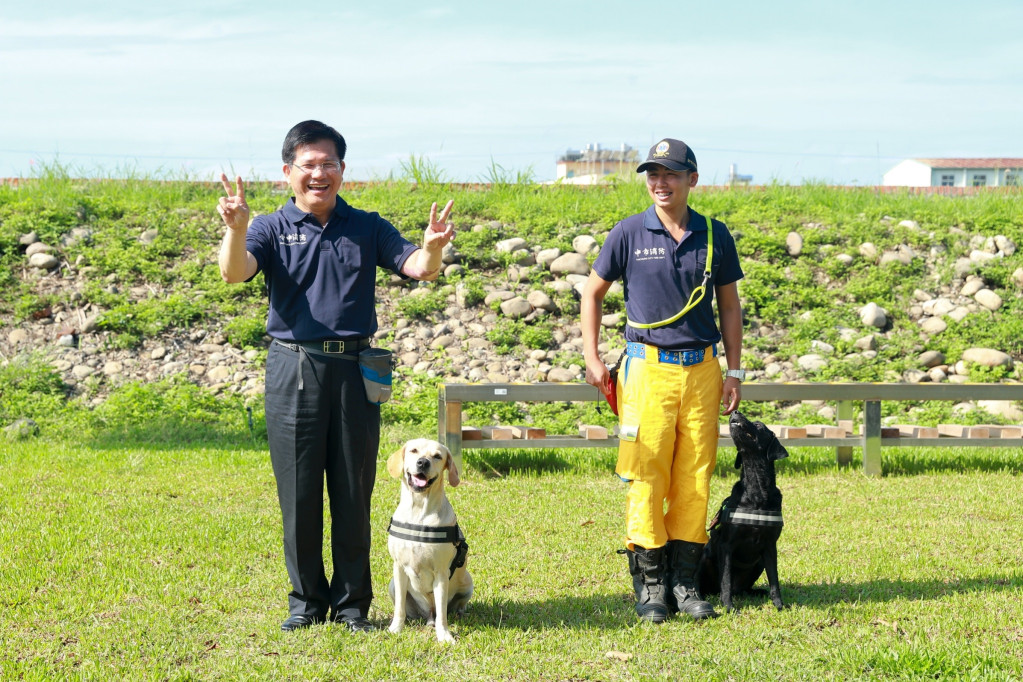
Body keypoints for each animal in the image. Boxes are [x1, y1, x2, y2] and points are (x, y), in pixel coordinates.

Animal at [384, 439, 472, 642]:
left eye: (438, 456)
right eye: (413, 450)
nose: (423, 462)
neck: (418, 511)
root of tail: (428, 613)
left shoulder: (441, 573)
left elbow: (442, 614)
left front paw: (445, 636)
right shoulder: (398, 567)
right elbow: (399, 608)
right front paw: (395, 628)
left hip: (468, 583)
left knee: (449, 608)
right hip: (392, 585)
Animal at [699, 411, 785, 613]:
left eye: (759, 425)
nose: (735, 411)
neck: (756, 489)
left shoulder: (770, 546)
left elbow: (774, 580)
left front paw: (779, 605)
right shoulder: (726, 546)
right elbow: (725, 581)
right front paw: (728, 607)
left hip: (759, 562)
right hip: (706, 557)